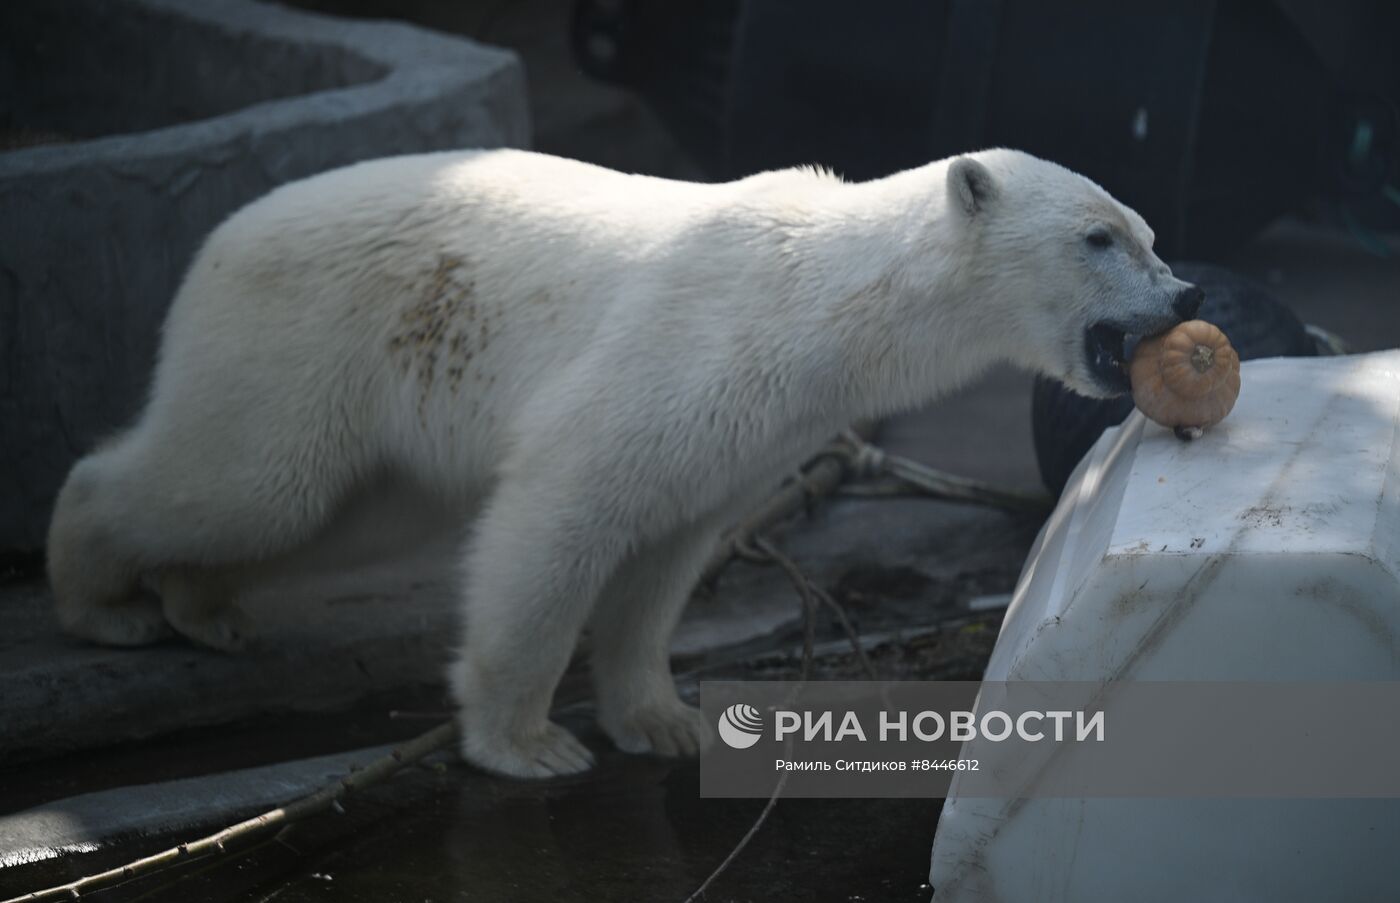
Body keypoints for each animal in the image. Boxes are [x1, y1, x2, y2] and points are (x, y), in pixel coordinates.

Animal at [46, 146, 1204, 772]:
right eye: (1100, 238)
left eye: (1148, 230)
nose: (1187, 293)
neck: (819, 301)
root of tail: (220, 235)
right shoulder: (678, 351)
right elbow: (564, 511)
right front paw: (526, 742)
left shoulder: (752, 428)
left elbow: (666, 551)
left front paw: (666, 723)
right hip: (307, 332)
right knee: (249, 479)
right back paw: (104, 603)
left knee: (339, 511)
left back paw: (205, 606)